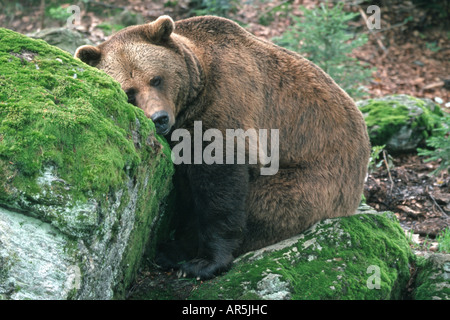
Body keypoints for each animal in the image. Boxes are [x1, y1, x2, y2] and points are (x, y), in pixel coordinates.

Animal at [74, 15, 370, 280]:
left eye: (156, 79)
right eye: (129, 92)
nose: (159, 119)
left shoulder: (228, 99)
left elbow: (221, 182)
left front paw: (205, 263)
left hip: (316, 178)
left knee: (264, 204)